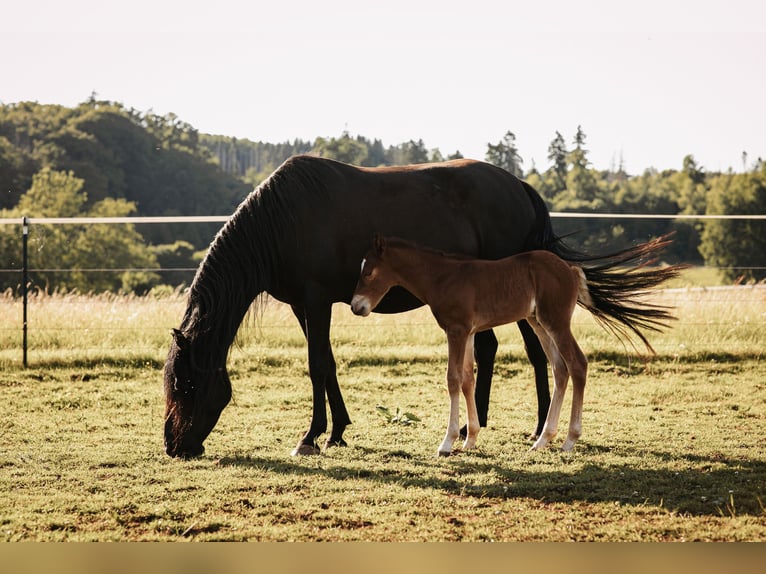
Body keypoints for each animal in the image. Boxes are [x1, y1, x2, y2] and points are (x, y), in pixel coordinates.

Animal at [351, 235, 680, 455]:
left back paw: (569, 440)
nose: (356, 306)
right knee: (560, 369)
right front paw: (470, 439)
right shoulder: (468, 332)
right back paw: (543, 440)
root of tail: (570, 268)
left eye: (369, 272)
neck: (443, 277)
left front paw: (447, 443)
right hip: (538, 322)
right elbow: (468, 379)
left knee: (577, 364)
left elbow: (453, 379)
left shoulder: (456, 330)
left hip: (555, 320)